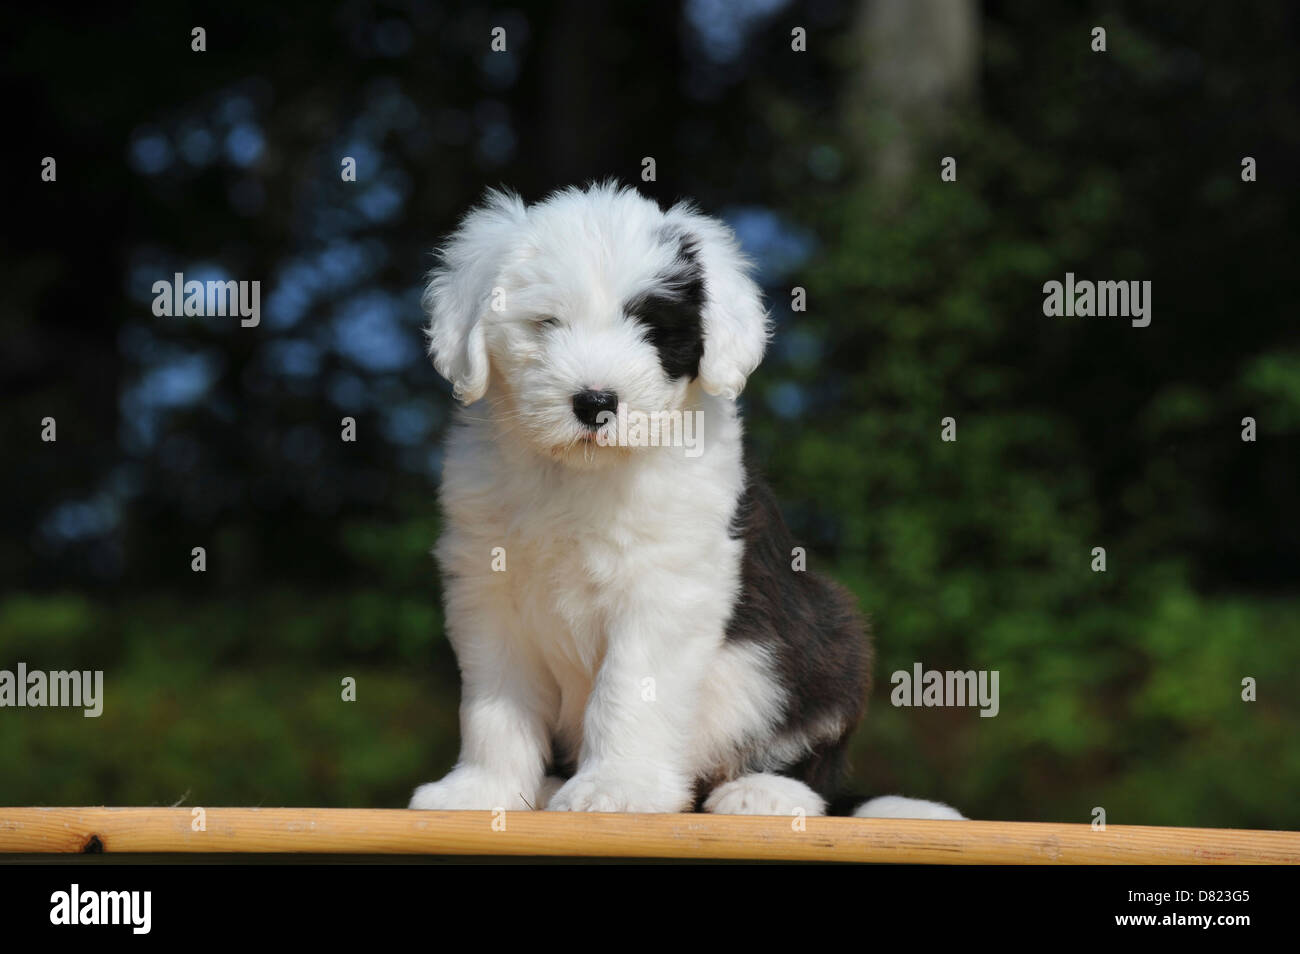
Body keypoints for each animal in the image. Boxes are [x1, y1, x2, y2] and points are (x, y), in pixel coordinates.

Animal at [410, 180, 961, 821]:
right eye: (546, 323)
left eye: (653, 328)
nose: (595, 402)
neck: (581, 475)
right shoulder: (488, 588)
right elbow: (495, 702)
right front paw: (482, 792)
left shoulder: (663, 587)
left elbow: (626, 688)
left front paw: (614, 788)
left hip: (831, 640)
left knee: (814, 761)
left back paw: (762, 792)